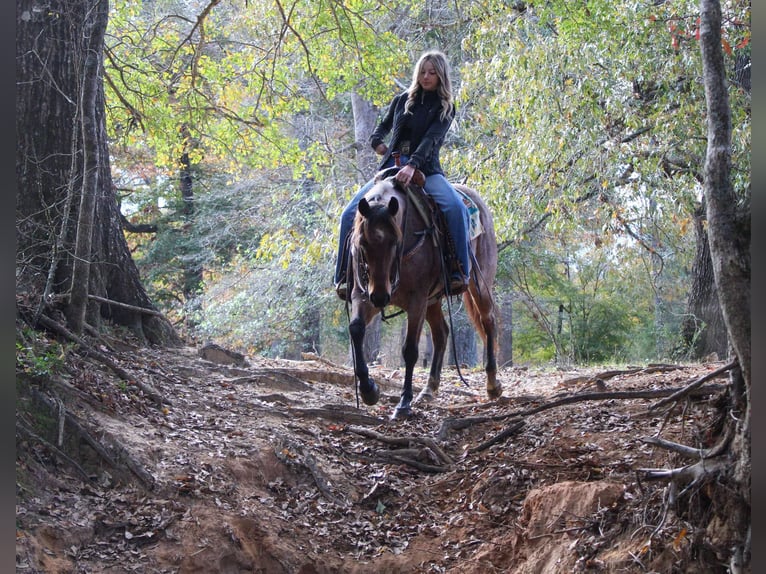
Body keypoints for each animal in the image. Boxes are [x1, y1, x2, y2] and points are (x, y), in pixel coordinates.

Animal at [346, 170, 502, 419]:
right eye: (362, 243)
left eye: (395, 242)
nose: (380, 298)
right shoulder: (362, 294)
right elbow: (356, 330)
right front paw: (369, 390)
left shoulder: (416, 300)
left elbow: (410, 350)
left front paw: (403, 403)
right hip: (433, 301)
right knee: (441, 333)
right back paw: (429, 389)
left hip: (479, 284)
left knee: (489, 321)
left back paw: (492, 385)